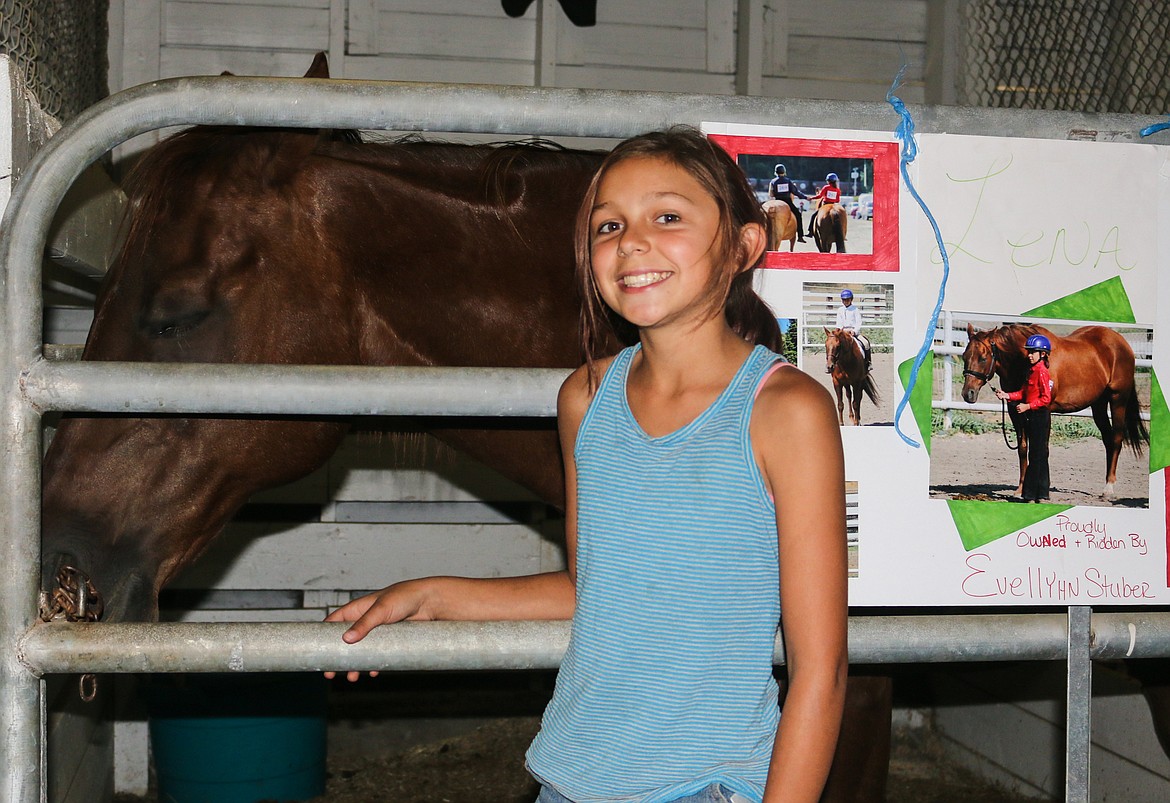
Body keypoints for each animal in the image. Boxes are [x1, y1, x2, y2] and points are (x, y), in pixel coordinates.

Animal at [959, 320, 1151, 496]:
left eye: (983, 358)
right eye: (964, 356)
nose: (968, 394)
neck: (1025, 363)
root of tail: (1121, 342)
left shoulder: (1044, 411)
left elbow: (1042, 448)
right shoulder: (1016, 411)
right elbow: (1023, 448)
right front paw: (1020, 489)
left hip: (1118, 400)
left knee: (1117, 439)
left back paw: (1109, 488)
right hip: (1098, 404)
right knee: (1108, 440)